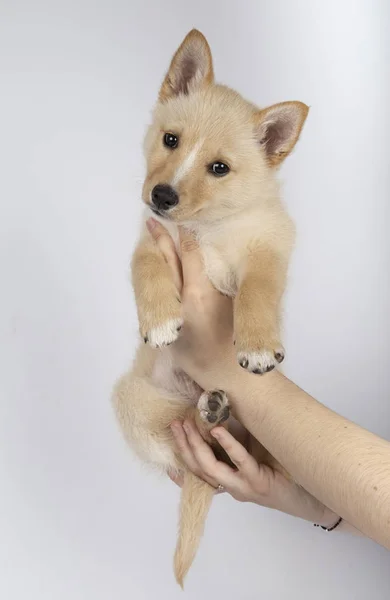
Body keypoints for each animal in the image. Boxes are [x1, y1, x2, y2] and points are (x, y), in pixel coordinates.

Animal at [111, 29, 310, 584]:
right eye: (170, 140)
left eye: (219, 168)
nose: (161, 195)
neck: (211, 228)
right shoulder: (152, 239)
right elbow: (146, 271)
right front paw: (160, 322)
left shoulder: (270, 246)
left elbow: (258, 289)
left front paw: (258, 345)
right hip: (132, 398)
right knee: (186, 432)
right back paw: (208, 410)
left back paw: (217, 409)